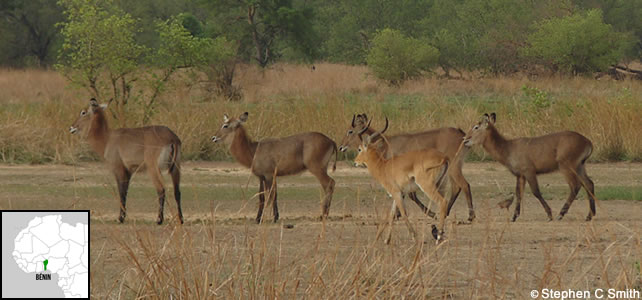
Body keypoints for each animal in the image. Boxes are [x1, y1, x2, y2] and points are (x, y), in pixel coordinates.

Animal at [211, 112, 340, 223]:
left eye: (226, 125)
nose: (214, 138)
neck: (253, 150)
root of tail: (331, 141)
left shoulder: (268, 175)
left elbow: (271, 195)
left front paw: (270, 218)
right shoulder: (262, 177)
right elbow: (264, 196)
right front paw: (261, 218)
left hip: (317, 169)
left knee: (330, 183)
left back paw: (323, 215)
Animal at [338, 113, 472, 221]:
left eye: (350, 131)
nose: (341, 147)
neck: (386, 145)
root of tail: (462, 134)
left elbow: (410, 195)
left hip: (453, 168)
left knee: (464, 184)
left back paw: (470, 216)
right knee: (456, 187)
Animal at [460, 112, 596, 220]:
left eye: (476, 127)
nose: (465, 139)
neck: (507, 148)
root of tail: (588, 142)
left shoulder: (529, 172)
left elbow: (536, 191)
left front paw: (549, 214)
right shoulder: (520, 175)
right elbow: (518, 194)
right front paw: (514, 217)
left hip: (566, 167)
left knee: (575, 186)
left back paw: (560, 215)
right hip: (580, 166)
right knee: (589, 183)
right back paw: (589, 215)